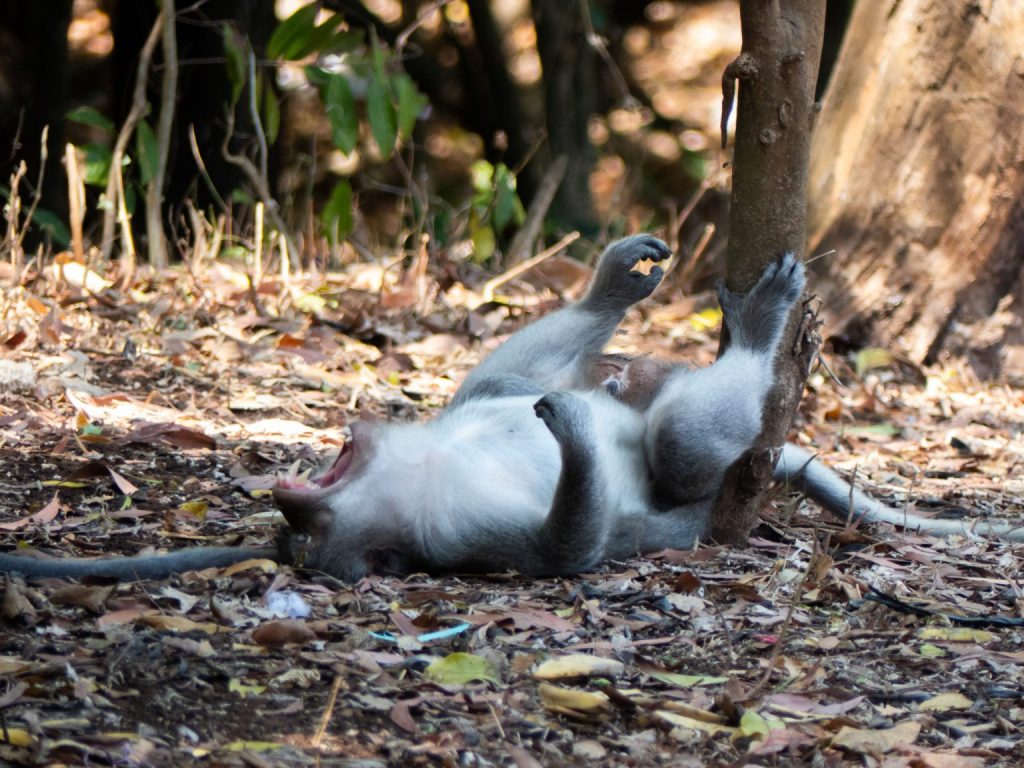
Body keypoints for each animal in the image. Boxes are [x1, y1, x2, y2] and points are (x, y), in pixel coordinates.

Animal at [4, 237, 1019, 581]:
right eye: (299, 539)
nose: (282, 505)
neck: (416, 469)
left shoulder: (467, 410)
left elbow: (502, 383)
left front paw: (614, 283)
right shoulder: (459, 535)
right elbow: (567, 549)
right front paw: (574, 441)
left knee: (652, 408)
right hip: (700, 477)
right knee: (681, 445)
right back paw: (760, 332)